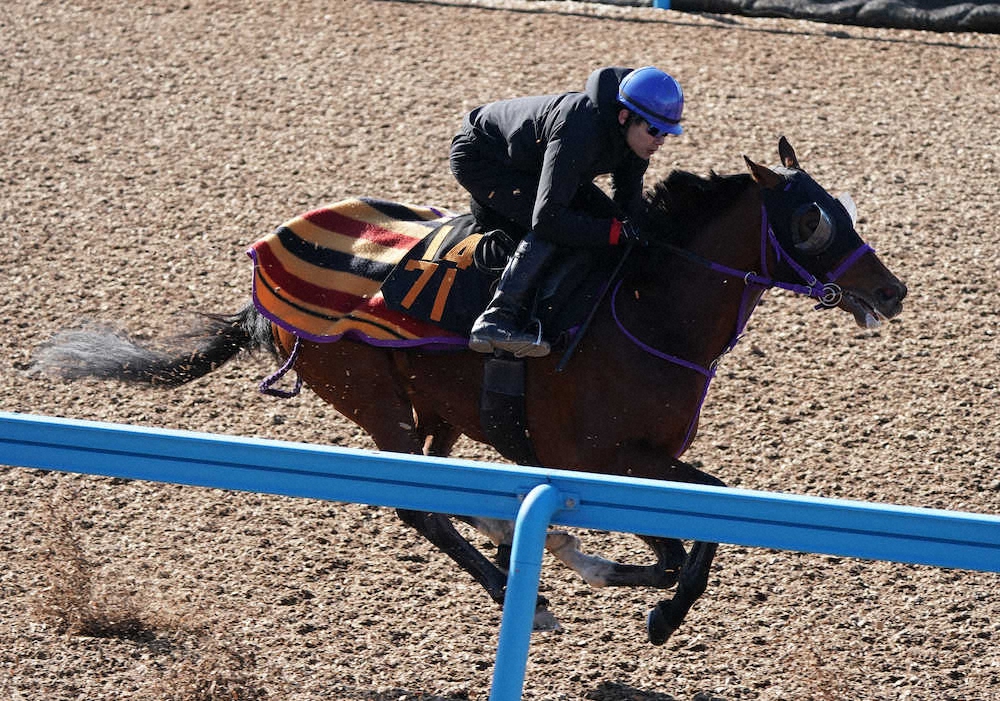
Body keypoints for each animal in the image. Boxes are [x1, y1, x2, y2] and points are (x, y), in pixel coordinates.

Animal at [30, 137, 907, 645]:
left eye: (844, 209)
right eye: (812, 220)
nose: (890, 291)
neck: (645, 305)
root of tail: (262, 276)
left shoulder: (636, 459)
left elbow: (678, 539)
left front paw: (598, 565)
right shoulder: (605, 455)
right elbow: (695, 531)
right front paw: (652, 610)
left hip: (439, 407)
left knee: (445, 485)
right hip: (374, 399)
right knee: (417, 504)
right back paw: (525, 590)